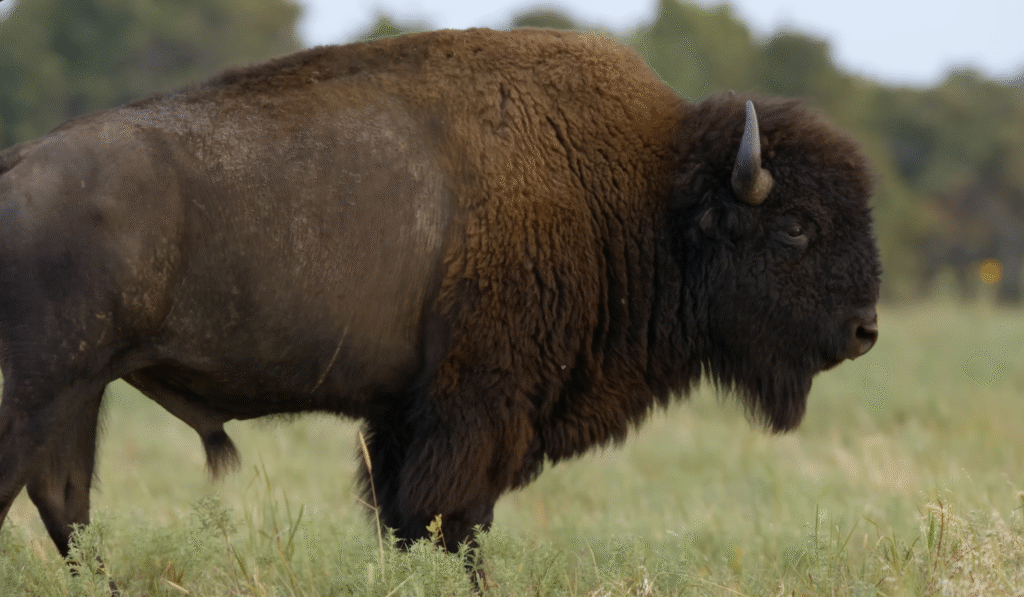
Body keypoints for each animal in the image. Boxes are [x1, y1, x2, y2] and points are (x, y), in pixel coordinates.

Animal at [0, 28, 880, 565]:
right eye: (797, 226)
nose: (865, 329)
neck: (639, 189)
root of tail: (17, 162)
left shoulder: (402, 418)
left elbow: (405, 520)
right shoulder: (477, 409)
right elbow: (453, 524)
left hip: (80, 390)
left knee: (66, 503)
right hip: (40, 388)